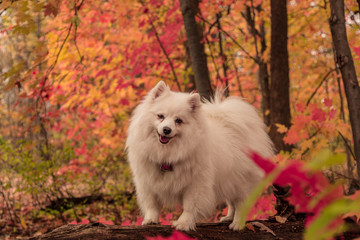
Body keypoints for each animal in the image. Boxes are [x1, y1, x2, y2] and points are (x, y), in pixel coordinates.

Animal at [126, 81, 272, 232]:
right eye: (160, 116)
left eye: (178, 120)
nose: (166, 129)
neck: (167, 154)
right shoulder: (147, 182)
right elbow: (152, 204)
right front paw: (150, 220)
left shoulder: (195, 184)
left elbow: (189, 206)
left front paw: (183, 224)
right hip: (228, 181)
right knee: (232, 203)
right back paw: (228, 217)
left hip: (241, 182)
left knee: (240, 203)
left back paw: (237, 224)